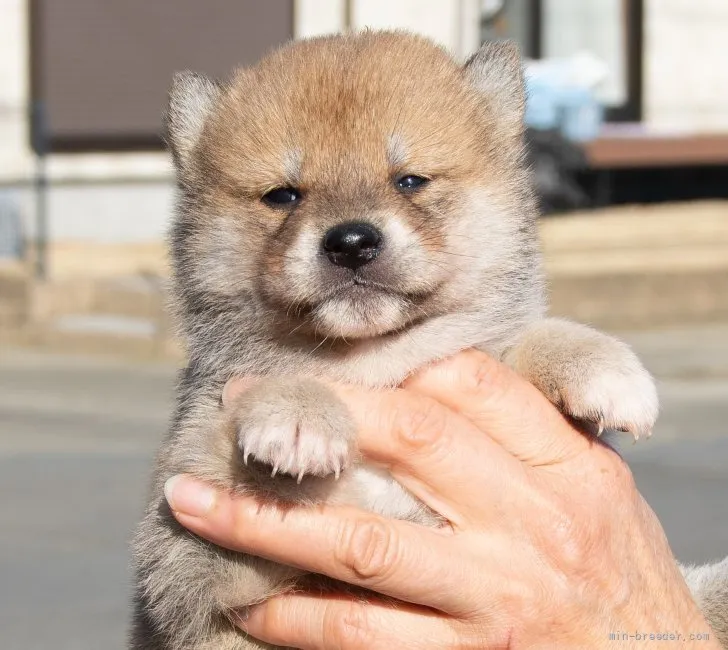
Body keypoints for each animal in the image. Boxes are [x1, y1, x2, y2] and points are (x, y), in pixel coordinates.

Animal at [131, 29, 728, 648]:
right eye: (283, 195)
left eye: (410, 180)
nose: (350, 241)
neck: (380, 362)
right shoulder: (188, 554)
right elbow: (276, 379)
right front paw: (297, 414)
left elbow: (526, 336)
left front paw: (601, 366)